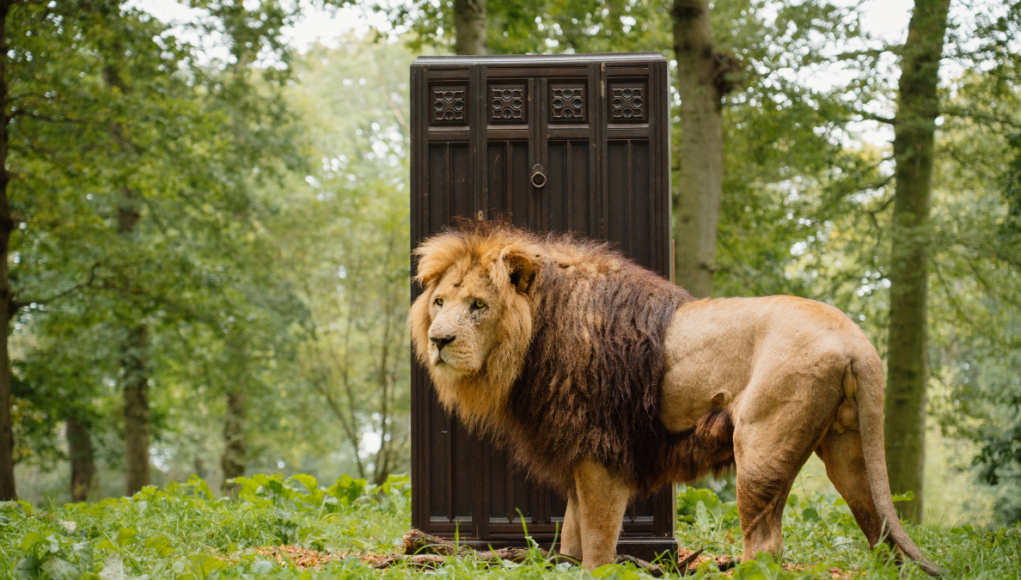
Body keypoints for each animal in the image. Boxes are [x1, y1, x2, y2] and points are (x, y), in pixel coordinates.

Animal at [410, 221, 941, 576]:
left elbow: (597, 543)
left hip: (761, 449)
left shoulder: (602, 454)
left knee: (766, 546)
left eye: (478, 306)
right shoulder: (578, 452)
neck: (537, 333)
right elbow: (571, 536)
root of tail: (855, 337)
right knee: (879, 531)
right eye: (439, 302)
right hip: (850, 452)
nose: (438, 340)